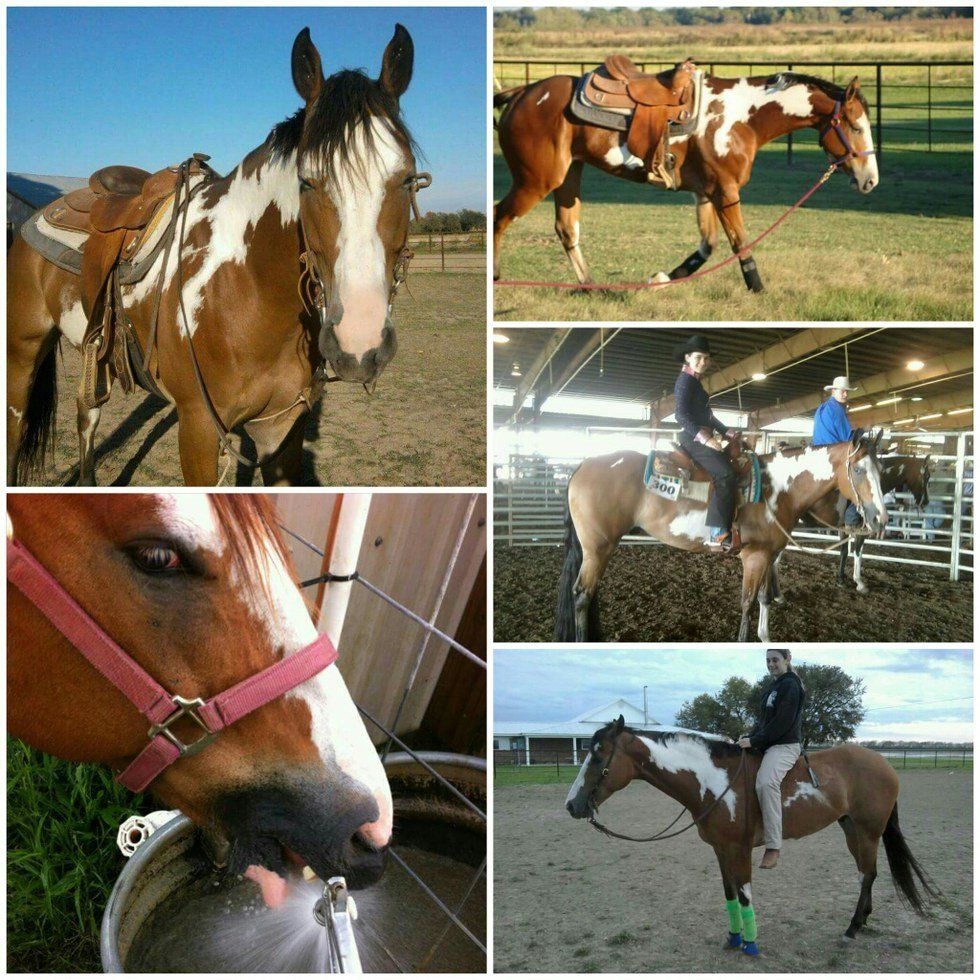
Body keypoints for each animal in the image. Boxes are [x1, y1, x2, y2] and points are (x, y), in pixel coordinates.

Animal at [8, 25, 424, 487]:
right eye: (307, 182)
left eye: (408, 179)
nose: (359, 343)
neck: (248, 289)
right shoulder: (198, 428)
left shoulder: (281, 429)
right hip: (21, 357)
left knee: (88, 415)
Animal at [493, 68, 877, 290]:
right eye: (856, 127)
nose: (870, 181)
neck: (743, 116)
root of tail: (521, 94)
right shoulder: (726, 191)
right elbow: (740, 243)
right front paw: (758, 288)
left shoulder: (706, 193)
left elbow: (708, 245)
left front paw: (662, 278)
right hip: (536, 181)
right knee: (500, 216)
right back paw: (496, 276)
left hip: (568, 176)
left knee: (567, 230)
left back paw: (591, 286)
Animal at [555, 433, 888, 643]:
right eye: (859, 470)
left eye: (881, 469)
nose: (880, 519)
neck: (778, 489)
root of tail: (583, 465)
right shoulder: (754, 557)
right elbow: (747, 603)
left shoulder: (769, 555)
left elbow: (765, 598)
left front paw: (766, 637)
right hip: (598, 547)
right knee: (581, 595)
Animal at [566, 718, 936, 953]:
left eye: (598, 756)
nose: (572, 805)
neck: (715, 781)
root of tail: (884, 763)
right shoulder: (720, 850)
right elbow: (729, 893)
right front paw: (733, 938)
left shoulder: (740, 849)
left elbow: (744, 895)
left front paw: (750, 944)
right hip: (850, 828)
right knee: (866, 874)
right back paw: (860, 923)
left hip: (867, 831)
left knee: (867, 875)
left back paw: (850, 929)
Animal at [796, 453, 932, 595]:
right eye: (927, 477)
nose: (926, 501)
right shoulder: (861, 530)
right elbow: (857, 552)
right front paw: (859, 582)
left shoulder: (843, 528)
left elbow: (844, 552)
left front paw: (841, 579)